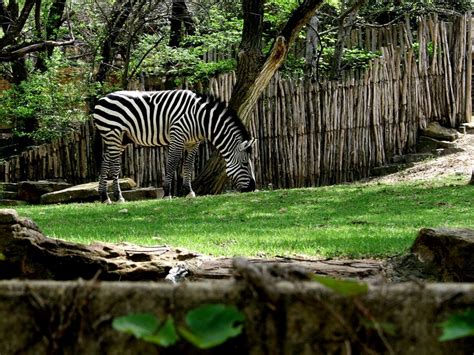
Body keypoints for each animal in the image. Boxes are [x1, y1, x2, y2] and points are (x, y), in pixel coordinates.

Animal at [91, 89, 256, 203]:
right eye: (245, 163)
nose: (253, 188)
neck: (200, 119)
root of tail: (100, 100)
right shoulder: (177, 136)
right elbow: (172, 163)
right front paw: (167, 193)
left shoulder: (193, 143)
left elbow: (188, 166)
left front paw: (189, 192)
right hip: (114, 134)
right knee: (114, 165)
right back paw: (118, 197)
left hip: (119, 139)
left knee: (105, 162)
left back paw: (104, 197)